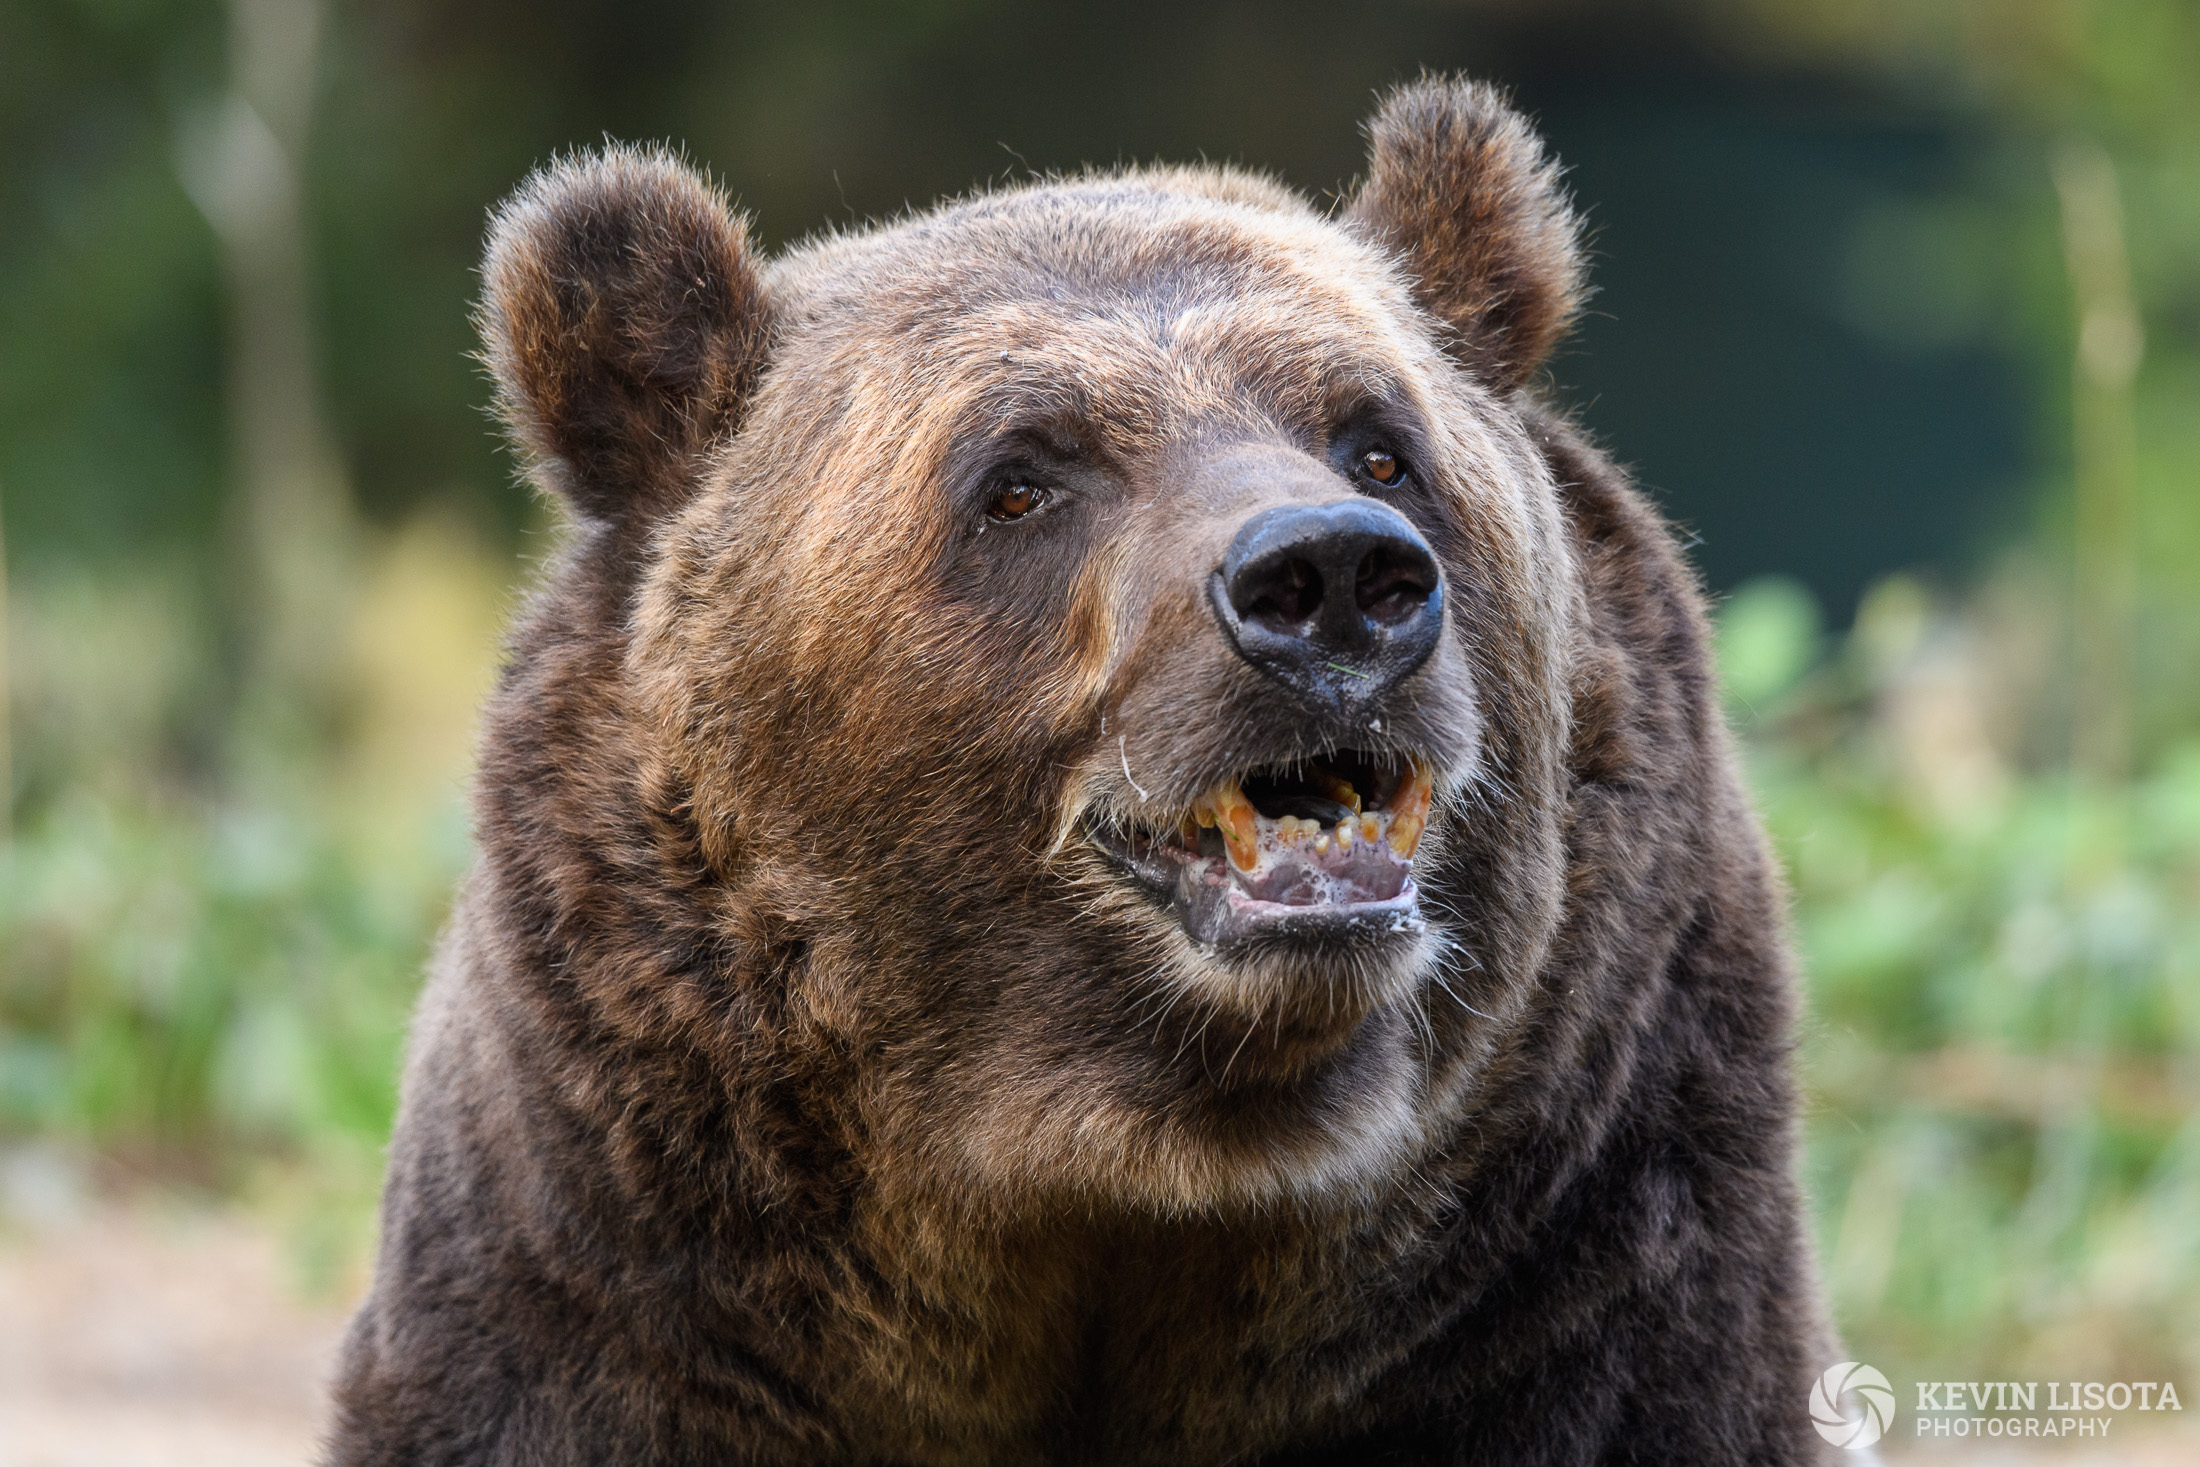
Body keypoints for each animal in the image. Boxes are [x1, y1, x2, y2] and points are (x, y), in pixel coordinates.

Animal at [325, 77, 1848, 1467]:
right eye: (1019, 479)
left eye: (1378, 443)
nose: (1330, 579)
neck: (1120, 1165)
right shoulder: (623, 1280)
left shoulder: (1577, 1275)